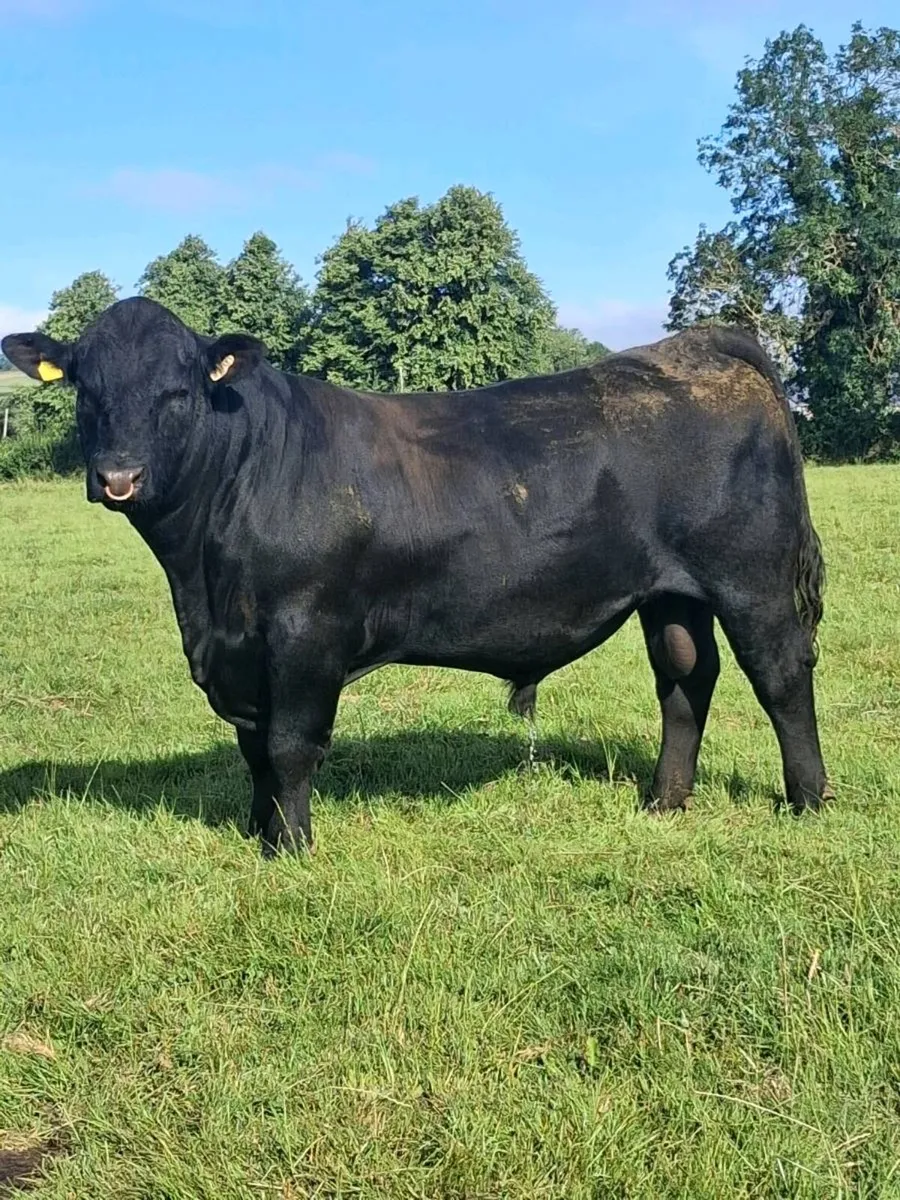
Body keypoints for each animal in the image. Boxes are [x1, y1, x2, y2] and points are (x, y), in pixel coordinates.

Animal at [2, 298, 832, 856]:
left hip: (750, 578)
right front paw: (256, 832)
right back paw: (664, 802)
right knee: (685, 679)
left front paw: (290, 848)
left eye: (178, 391)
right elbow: (253, 748)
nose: (118, 476)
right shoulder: (241, 647)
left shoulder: (305, 632)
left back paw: (809, 800)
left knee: (781, 675)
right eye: (85, 389)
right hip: (670, 592)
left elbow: (289, 745)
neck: (201, 581)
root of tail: (696, 346)